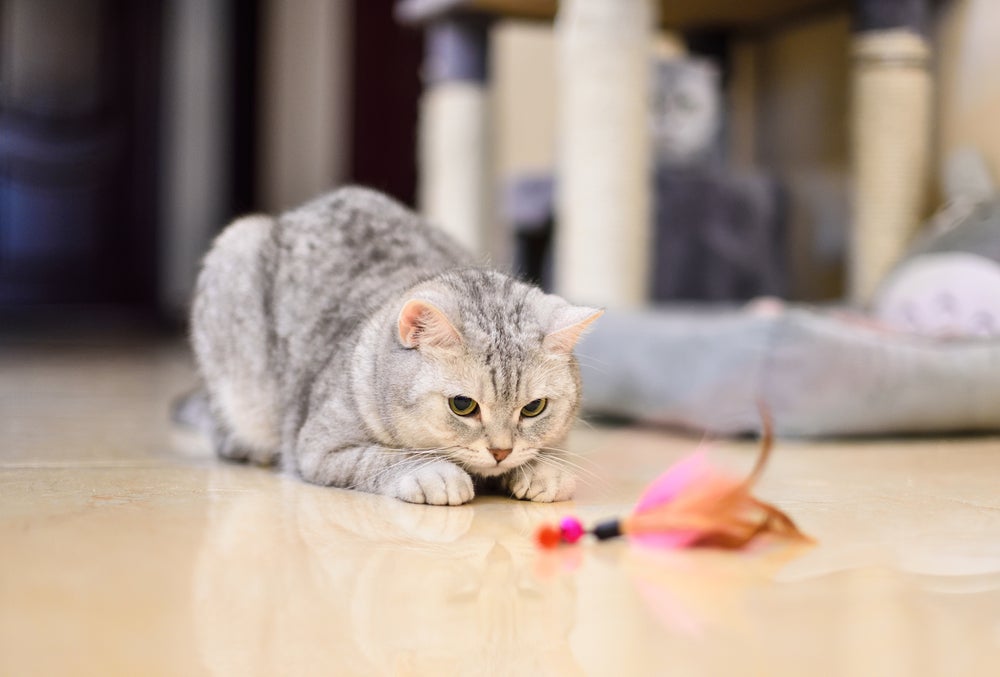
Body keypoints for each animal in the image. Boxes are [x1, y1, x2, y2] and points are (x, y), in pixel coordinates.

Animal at [191, 185, 600, 502]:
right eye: (463, 406)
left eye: (533, 408)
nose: (501, 451)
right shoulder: (320, 448)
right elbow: (388, 458)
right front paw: (436, 474)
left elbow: (548, 453)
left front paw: (543, 471)